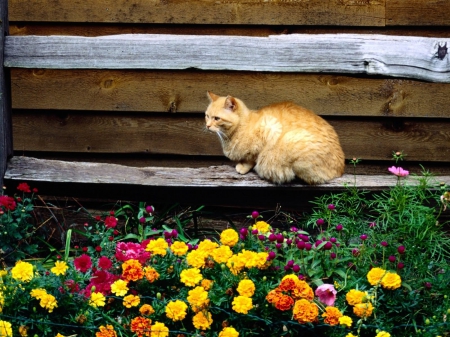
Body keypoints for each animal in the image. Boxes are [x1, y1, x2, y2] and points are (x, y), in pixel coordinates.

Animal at [204, 92, 344, 184]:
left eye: (216, 118)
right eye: (206, 116)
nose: (207, 126)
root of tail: (341, 170)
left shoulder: (270, 129)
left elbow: (252, 158)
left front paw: (243, 167)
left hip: (294, 146)